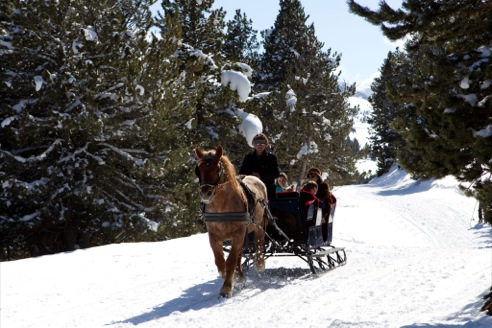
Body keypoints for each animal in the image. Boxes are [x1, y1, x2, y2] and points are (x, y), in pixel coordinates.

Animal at [194, 145, 268, 298]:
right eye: (198, 169)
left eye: (217, 168)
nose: (205, 193)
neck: (222, 207)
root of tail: (255, 178)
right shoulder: (214, 236)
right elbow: (220, 261)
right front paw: (230, 278)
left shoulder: (238, 233)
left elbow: (231, 260)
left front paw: (226, 288)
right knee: (239, 254)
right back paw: (240, 277)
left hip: (258, 225)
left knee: (259, 242)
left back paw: (259, 264)